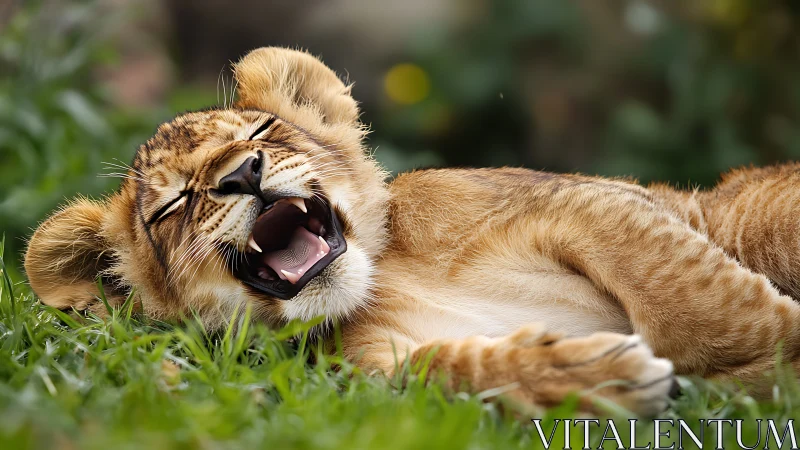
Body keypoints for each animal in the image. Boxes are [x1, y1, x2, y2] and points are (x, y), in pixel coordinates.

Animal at [24, 47, 800, 416]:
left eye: (261, 132)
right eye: (174, 204)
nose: (242, 174)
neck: (383, 278)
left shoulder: (579, 201)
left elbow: (683, 295)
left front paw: (772, 353)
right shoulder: (368, 377)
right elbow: (454, 371)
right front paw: (592, 379)